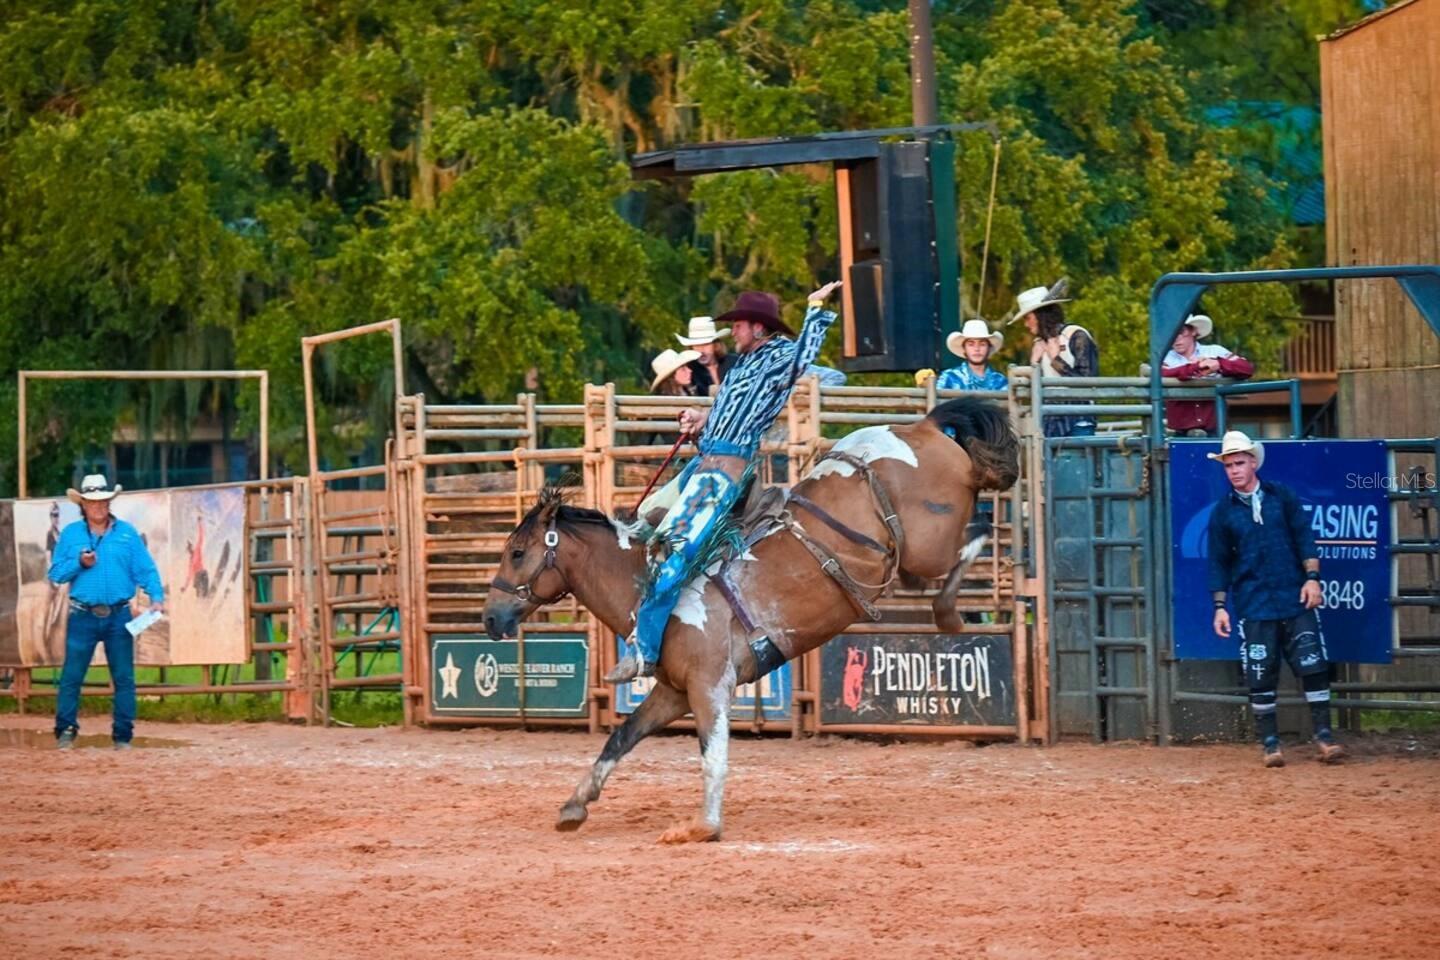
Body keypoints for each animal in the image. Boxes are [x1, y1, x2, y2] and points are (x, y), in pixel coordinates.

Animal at [486, 397, 1025, 840]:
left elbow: (714, 756)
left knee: (978, 530)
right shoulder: (673, 691)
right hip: (911, 559)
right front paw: (575, 805)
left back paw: (949, 612)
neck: (655, 588)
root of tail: (923, 426)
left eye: (517, 553)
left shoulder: (710, 686)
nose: (490, 618)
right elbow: (621, 737)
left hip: (930, 542)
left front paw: (702, 828)